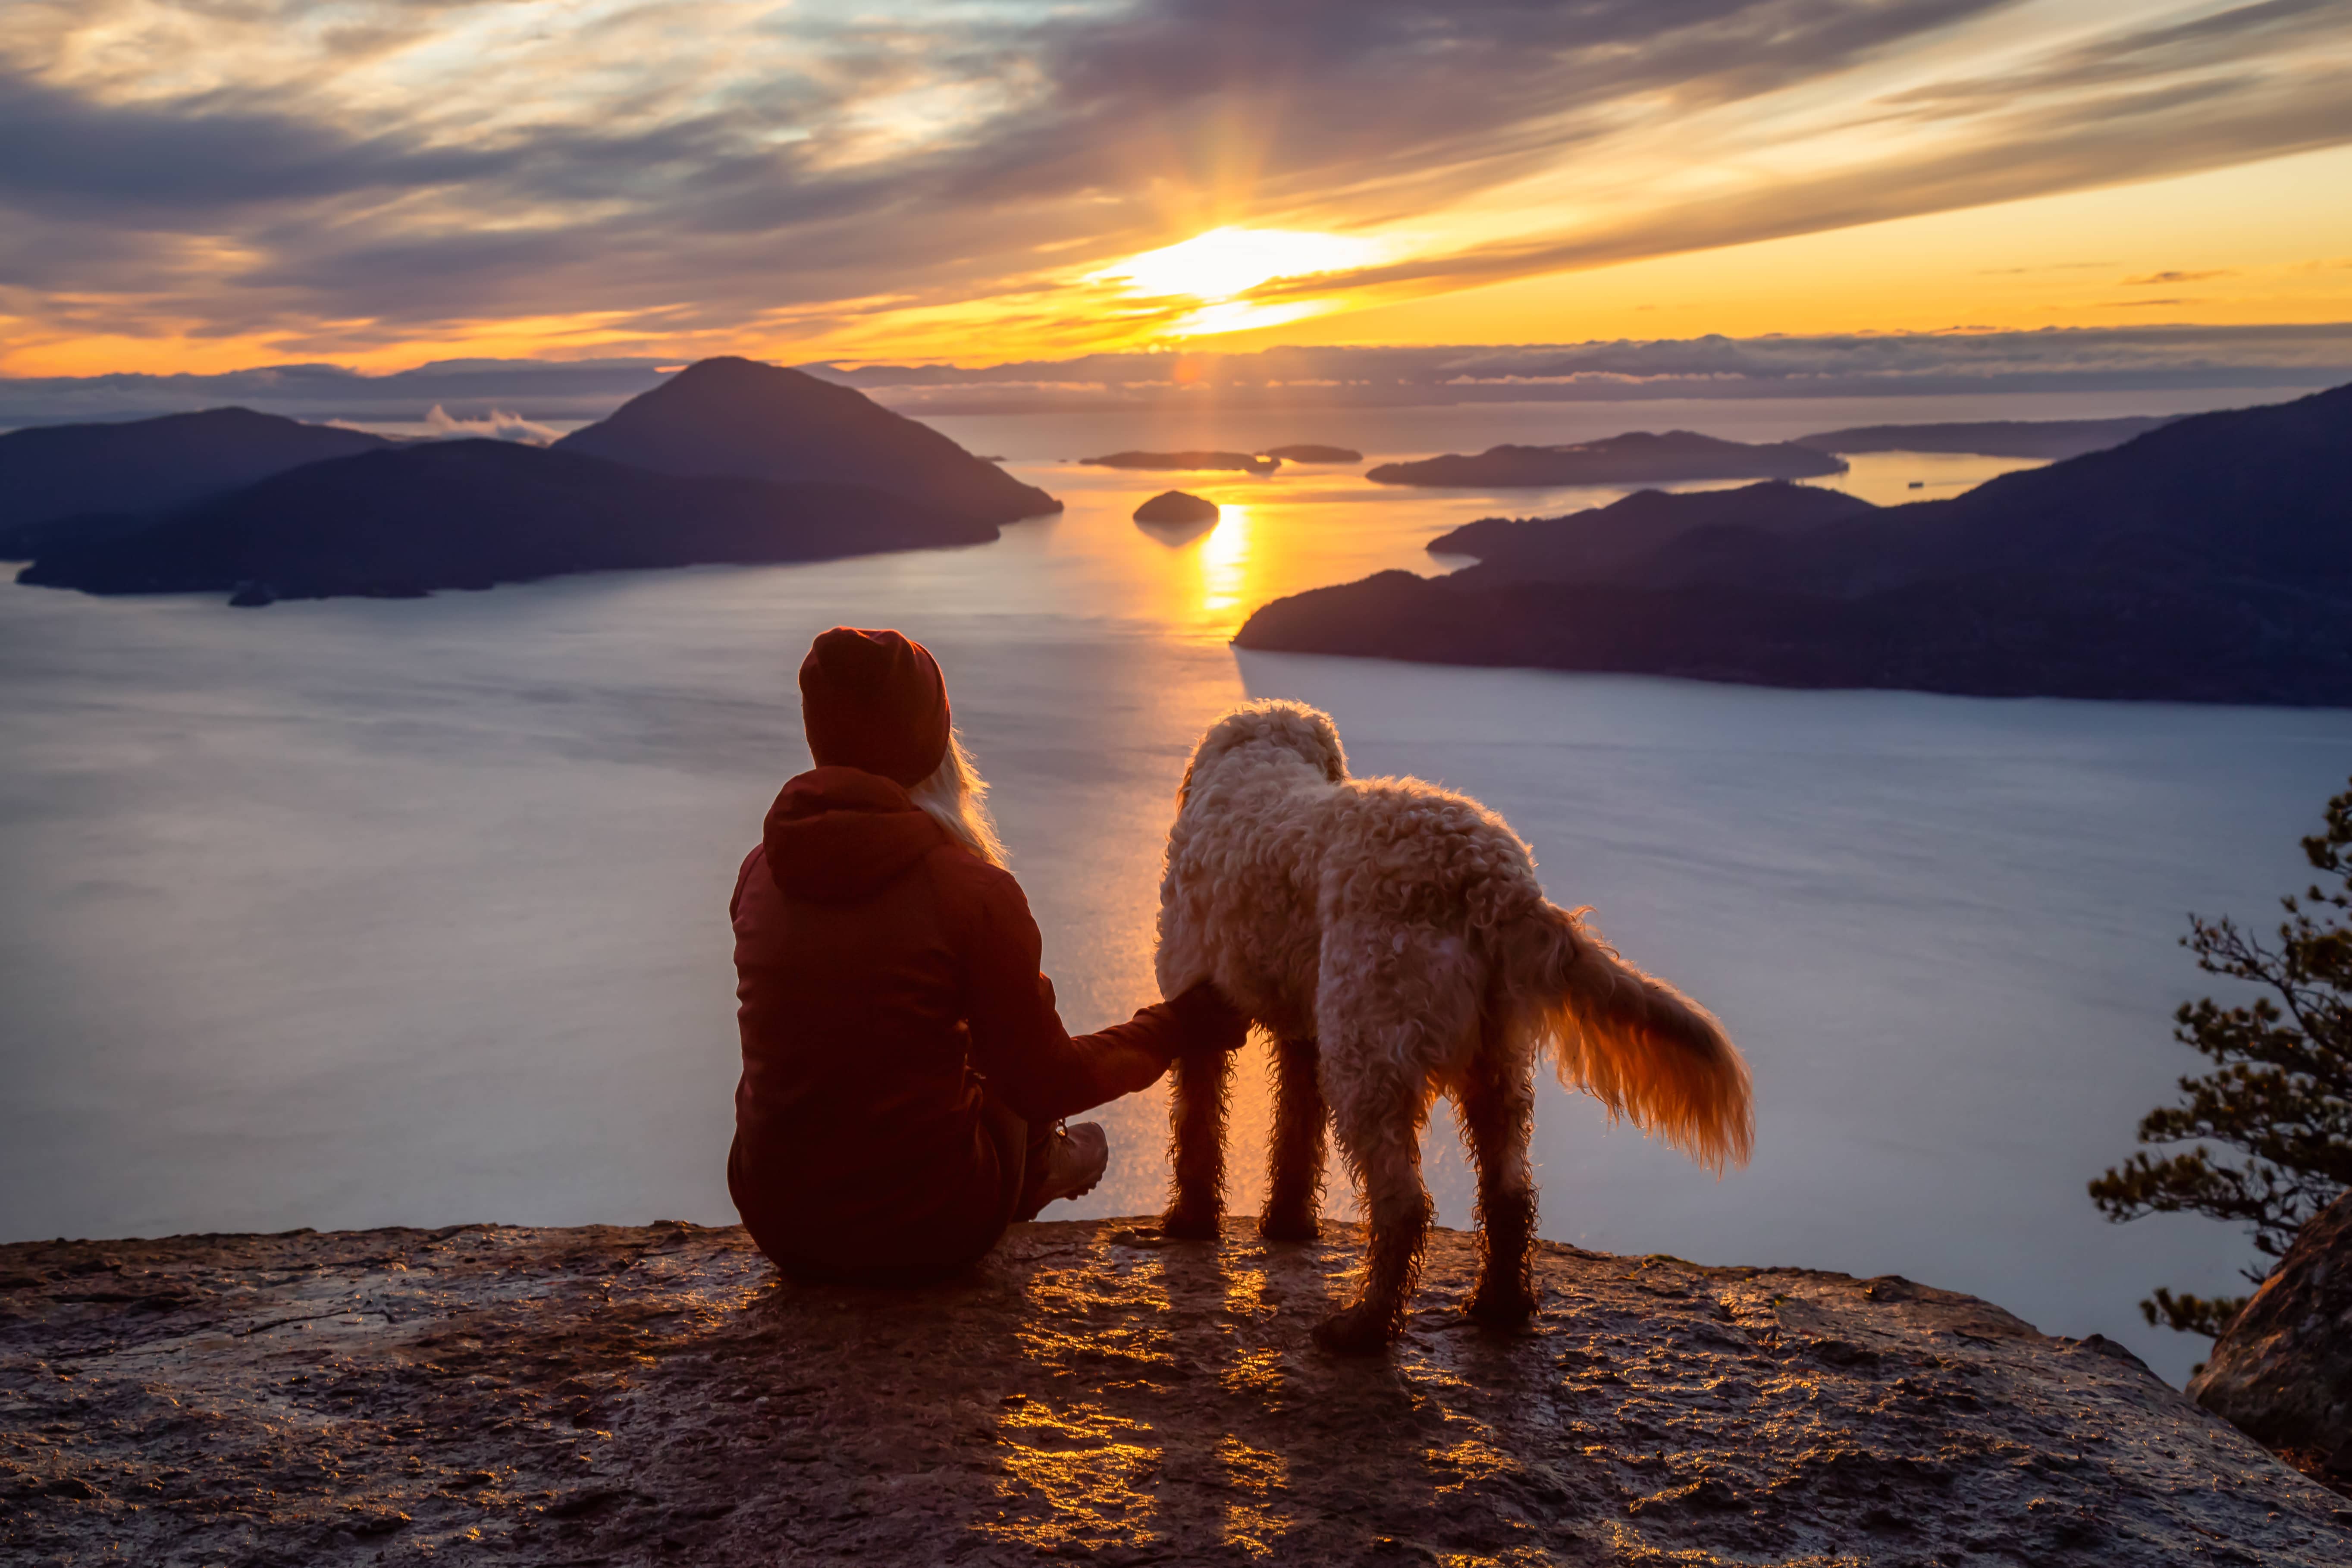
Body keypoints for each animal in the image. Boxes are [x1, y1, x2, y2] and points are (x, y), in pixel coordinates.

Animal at [1148, 700, 1759, 1354]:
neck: (1257, 762)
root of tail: (1493, 880)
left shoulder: (1199, 1017)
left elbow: (1198, 1128)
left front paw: (1190, 1223)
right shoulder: (1303, 1035)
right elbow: (1295, 1136)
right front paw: (1286, 1224)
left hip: (1368, 1057)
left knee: (1404, 1205)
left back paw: (1364, 1326)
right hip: (1493, 1062)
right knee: (1509, 1194)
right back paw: (1500, 1305)